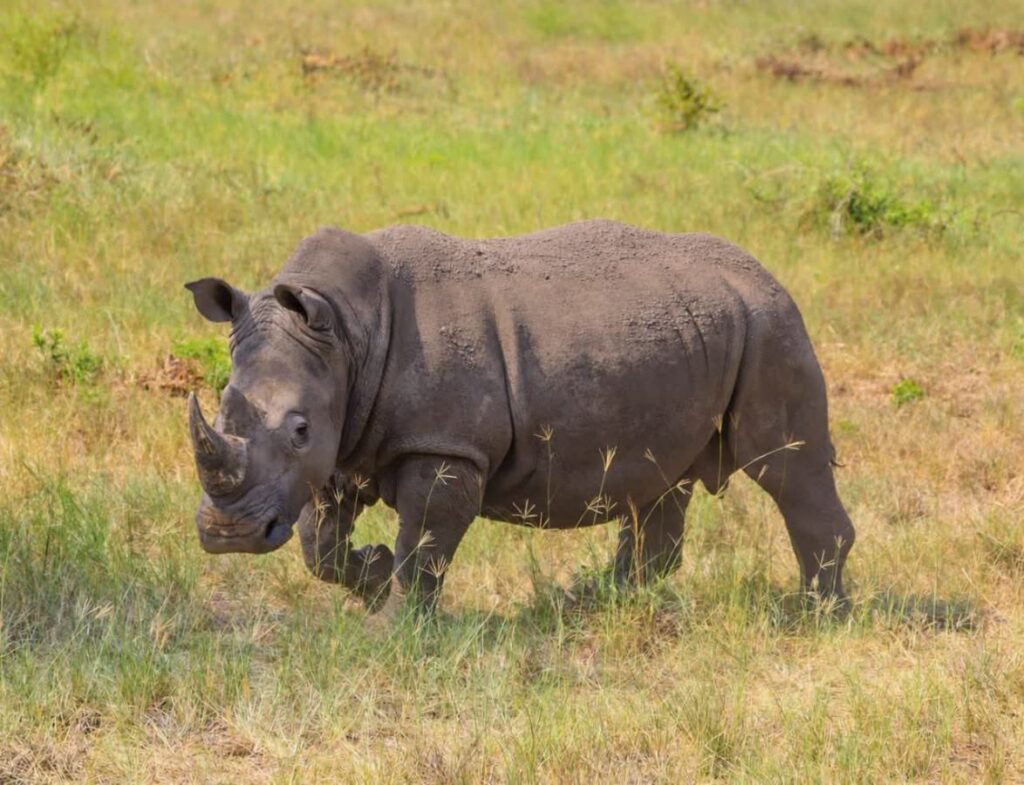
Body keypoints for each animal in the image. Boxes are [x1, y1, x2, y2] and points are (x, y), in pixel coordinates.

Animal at [185, 220, 855, 609]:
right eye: (223, 410)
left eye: (299, 430)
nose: (228, 535)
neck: (347, 330)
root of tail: (766, 272)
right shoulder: (347, 437)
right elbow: (318, 543)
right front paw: (370, 577)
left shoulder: (445, 444)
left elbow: (424, 543)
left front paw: (397, 626)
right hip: (693, 335)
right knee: (661, 482)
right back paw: (590, 601)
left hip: (770, 326)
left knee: (786, 466)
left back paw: (815, 616)